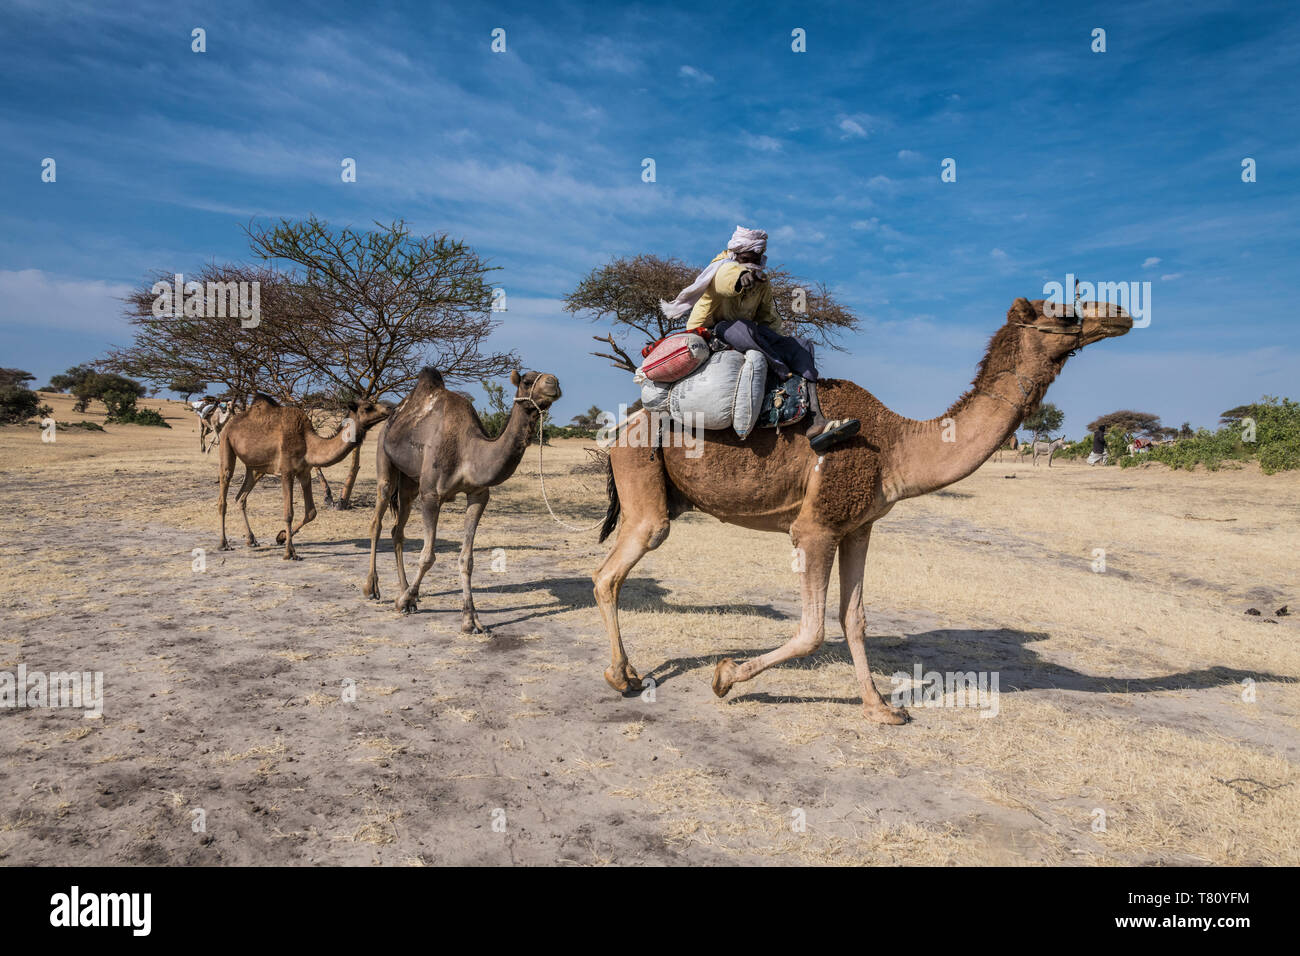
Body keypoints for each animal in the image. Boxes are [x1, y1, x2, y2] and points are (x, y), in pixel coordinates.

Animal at [217, 395, 390, 561]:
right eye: (367, 407)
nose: (389, 408)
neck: (308, 443)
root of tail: (230, 424)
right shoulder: (286, 472)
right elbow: (288, 514)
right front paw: (290, 553)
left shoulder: (305, 472)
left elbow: (311, 512)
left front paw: (281, 536)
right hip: (226, 442)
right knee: (224, 489)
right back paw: (223, 544)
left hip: (256, 468)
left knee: (241, 497)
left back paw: (251, 539)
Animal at [369, 369, 566, 632]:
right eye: (526, 381)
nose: (553, 382)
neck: (468, 452)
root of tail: (394, 415)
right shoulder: (431, 495)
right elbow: (427, 556)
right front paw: (403, 601)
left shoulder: (478, 495)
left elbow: (467, 559)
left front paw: (470, 619)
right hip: (384, 457)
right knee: (378, 518)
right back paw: (372, 588)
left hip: (409, 481)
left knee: (397, 530)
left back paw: (405, 589)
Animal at [595, 299, 1133, 723]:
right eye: (1064, 313)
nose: (1121, 314)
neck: (895, 446)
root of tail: (623, 427)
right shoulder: (815, 528)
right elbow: (812, 630)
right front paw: (726, 676)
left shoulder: (858, 527)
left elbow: (853, 617)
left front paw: (881, 708)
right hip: (643, 479)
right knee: (612, 571)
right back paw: (621, 678)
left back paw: (628, 672)